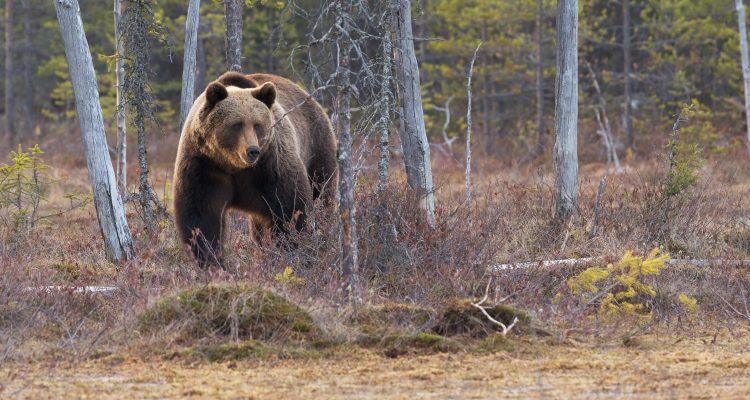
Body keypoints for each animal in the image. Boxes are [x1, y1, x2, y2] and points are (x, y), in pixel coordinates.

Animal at [173, 71, 338, 268]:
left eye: (257, 124)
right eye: (237, 124)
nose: (252, 150)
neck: (234, 165)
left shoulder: (271, 166)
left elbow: (290, 209)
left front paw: (289, 252)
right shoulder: (204, 165)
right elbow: (201, 216)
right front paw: (212, 262)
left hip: (316, 147)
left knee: (322, 195)